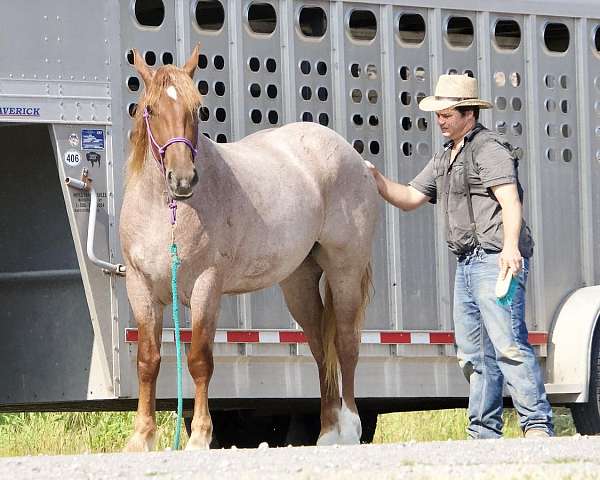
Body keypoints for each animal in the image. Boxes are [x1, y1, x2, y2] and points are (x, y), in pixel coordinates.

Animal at [119, 44, 378, 450]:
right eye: (151, 110)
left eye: (197, 109)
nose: (183, 179)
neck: (167, 212)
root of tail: (353, 157)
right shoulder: (140, 286)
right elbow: (148, 360)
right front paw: (141, 438)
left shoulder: (207, 286)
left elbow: (199, 360)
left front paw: (200, 436)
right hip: (299, 282)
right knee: (321, 349)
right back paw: (326, 432)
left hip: (345, 271)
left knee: (347, 344)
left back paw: (349, 430)